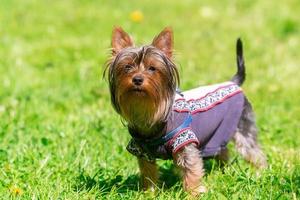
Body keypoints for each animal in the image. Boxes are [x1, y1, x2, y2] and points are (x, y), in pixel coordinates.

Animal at [103, 26, 268, 195]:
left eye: (152, 68)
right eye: (127, 67)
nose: (137, 79)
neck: (149, 111)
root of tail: (233, 83)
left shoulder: (184, 143)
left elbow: (192, 171)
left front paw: (193, 193)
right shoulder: (142, 151)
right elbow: (148, 173)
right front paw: (148, 193)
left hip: (243, 125)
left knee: (253, 151)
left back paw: (260, 173)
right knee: (222, 150)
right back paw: (222, 171)